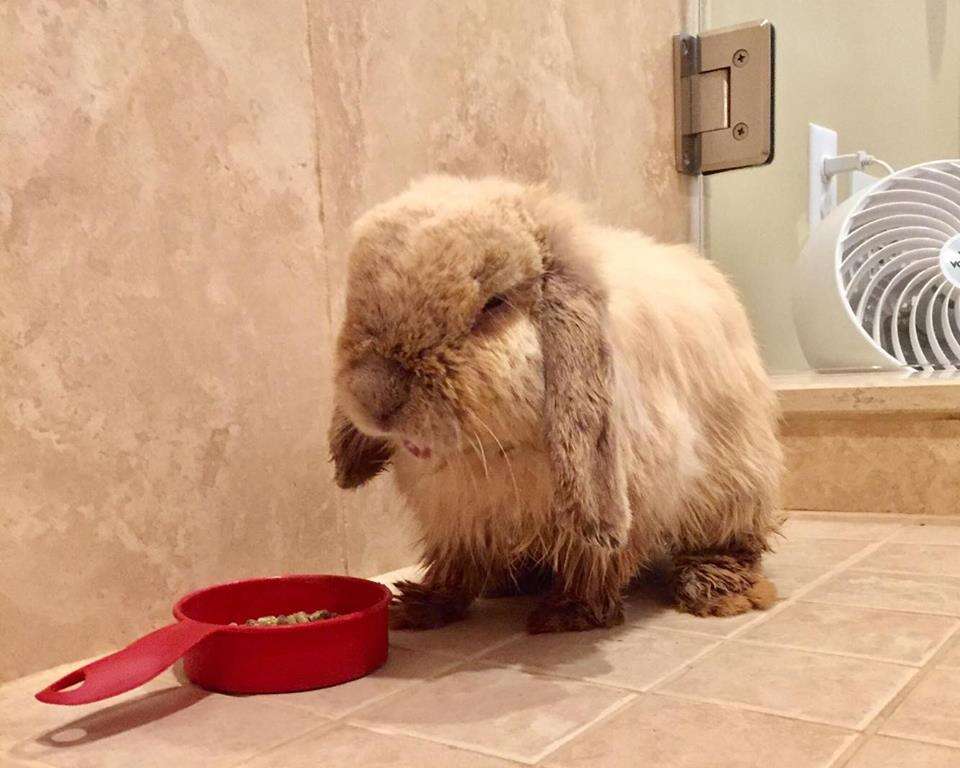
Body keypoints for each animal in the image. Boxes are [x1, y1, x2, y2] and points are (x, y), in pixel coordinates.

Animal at [328, 174, 782, 634]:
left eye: (493, 304)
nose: (373, 397)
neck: (495, 449)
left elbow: (595, 562)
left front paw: (567, 613)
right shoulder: (457, 517)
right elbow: (457, 565)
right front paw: (419, 607)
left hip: (732, 478)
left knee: (731, 540)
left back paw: (717, 591)